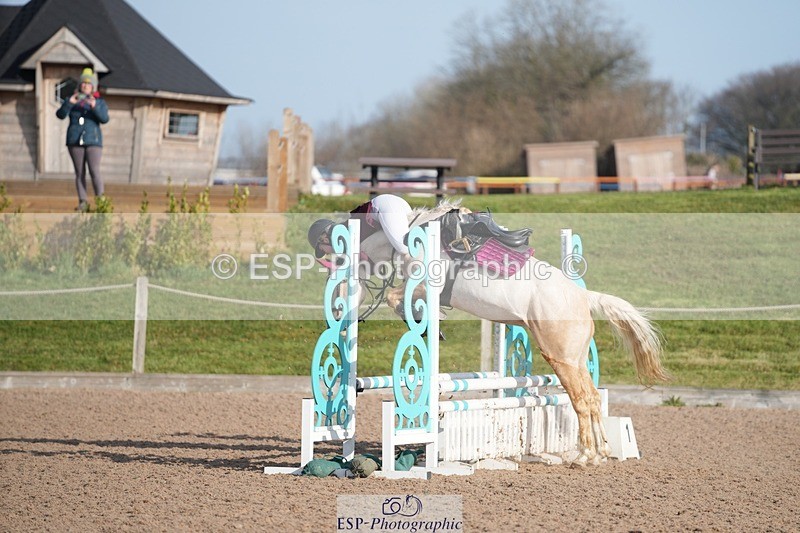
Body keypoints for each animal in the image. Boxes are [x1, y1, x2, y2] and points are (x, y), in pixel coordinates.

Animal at [345, 199, 668, 466]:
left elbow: (396, 298)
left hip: (561, 359)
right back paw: (600, 452)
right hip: (575, 360)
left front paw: (426, 319)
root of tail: (585, 297)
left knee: (582, 400)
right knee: (592, 398)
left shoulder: (427, 285)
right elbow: (399, 298)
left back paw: (584, 456)